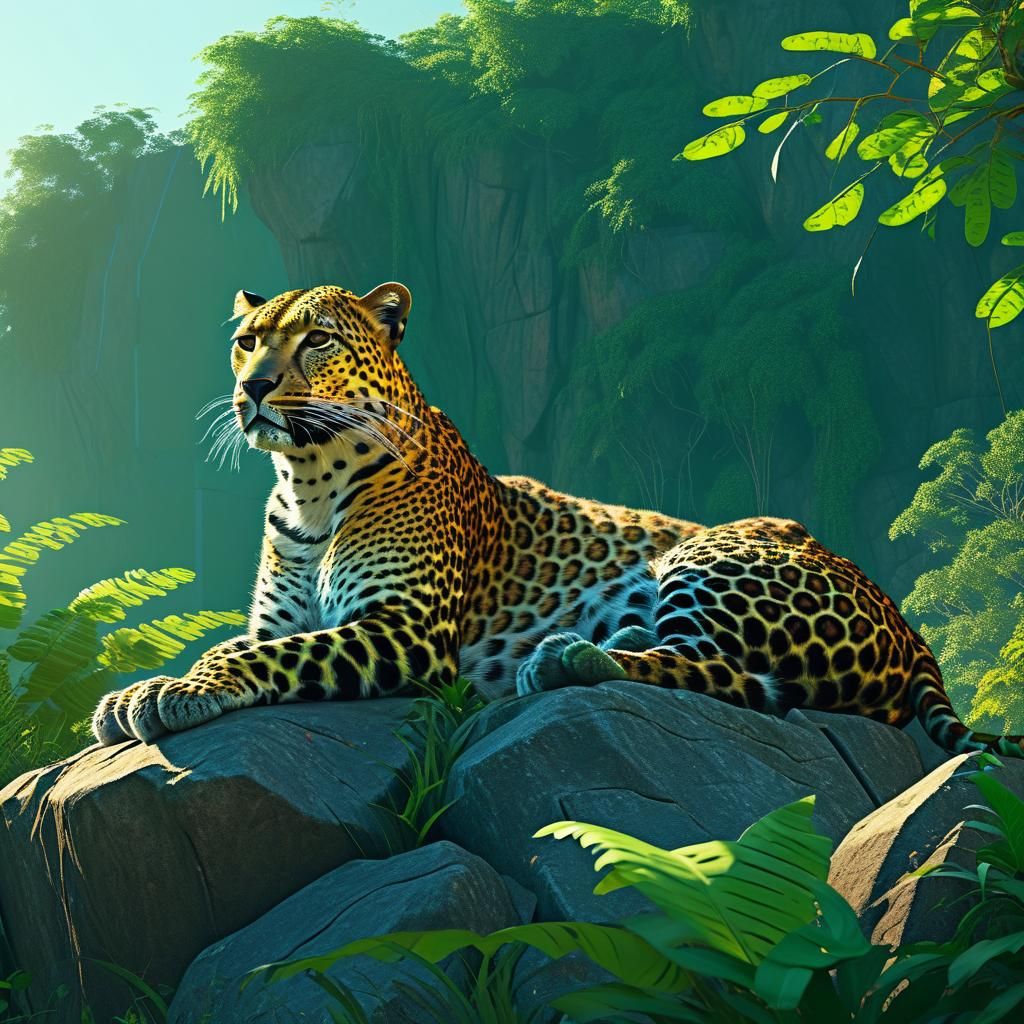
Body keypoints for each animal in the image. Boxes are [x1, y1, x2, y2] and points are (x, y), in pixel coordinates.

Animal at [92, 281, 1024, 760]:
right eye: (247, 339)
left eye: (316, 339)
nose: (251, 388)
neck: (308, 481)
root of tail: (908, 622)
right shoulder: (282, 615)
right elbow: (247, 641)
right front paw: (141, 688)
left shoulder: (406, 629)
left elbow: (258, 656)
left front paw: (170, 692)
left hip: (718, 552)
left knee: (734, 680)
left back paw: (567, 657)